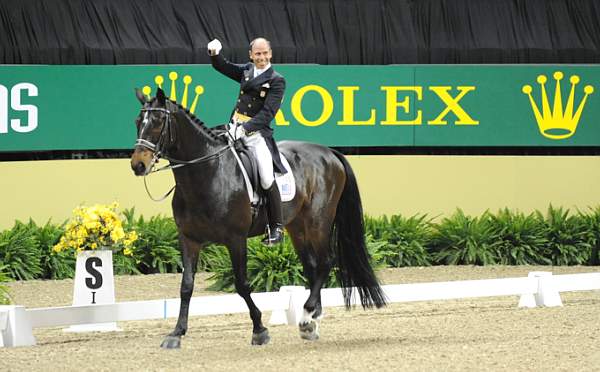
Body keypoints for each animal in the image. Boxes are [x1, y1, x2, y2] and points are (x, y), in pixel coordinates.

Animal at [129, 88, 386, 348]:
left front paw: (259, 329)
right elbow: (186, 285)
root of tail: (330, 152)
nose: (138, 165)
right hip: (297, 227)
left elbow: (242, 285)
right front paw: (176, 333)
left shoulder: (235, 239)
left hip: (318, 222)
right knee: (312, 266)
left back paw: (307, 316)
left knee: (326, 261)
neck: (208, 173)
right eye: (138, 122)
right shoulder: (188, 238)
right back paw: (311, 320)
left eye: (158, 122)